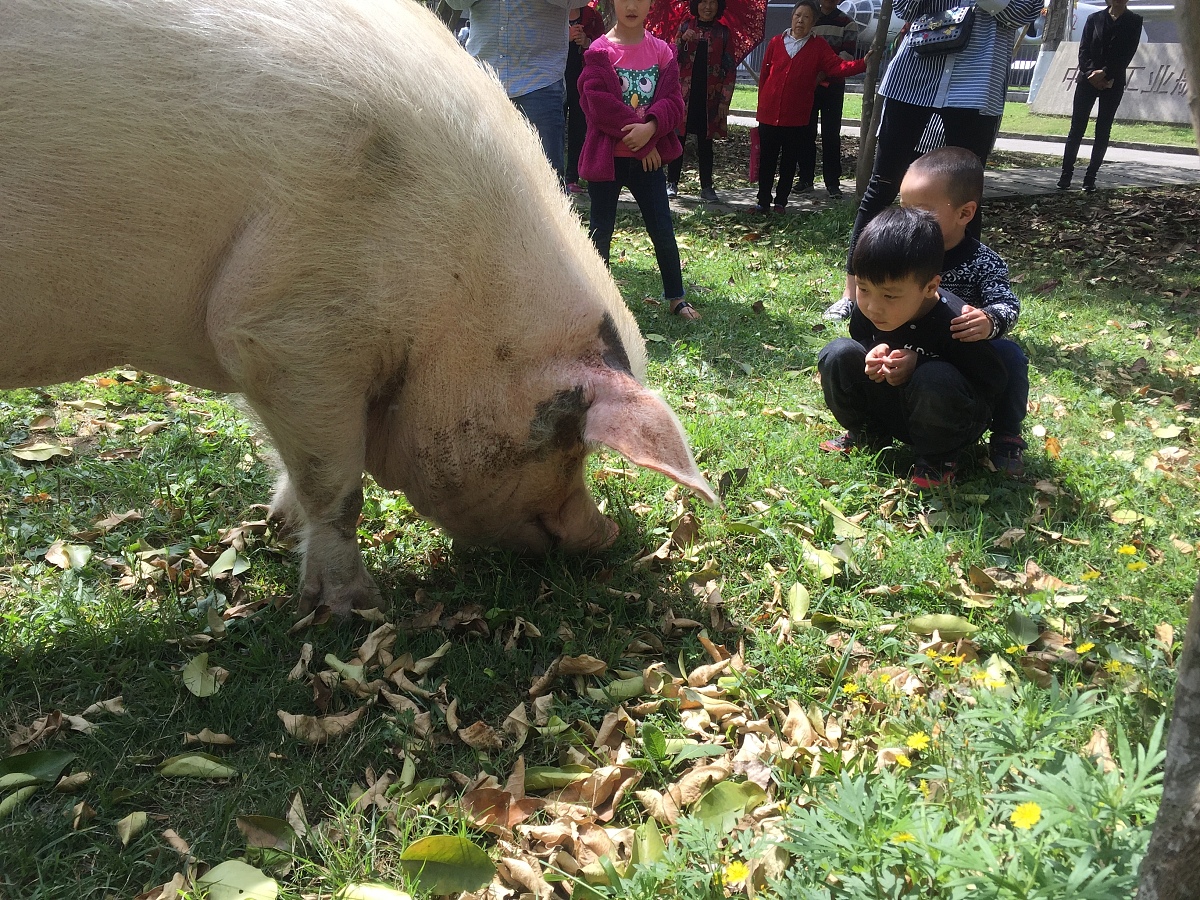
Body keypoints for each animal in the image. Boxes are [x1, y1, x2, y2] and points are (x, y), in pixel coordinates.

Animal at [0, 0, 710, 619]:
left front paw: (274, 526)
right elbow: (335, 484)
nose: (607, 536)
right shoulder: (287, 327)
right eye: (566, 437)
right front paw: (353, 609)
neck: (455, 297)